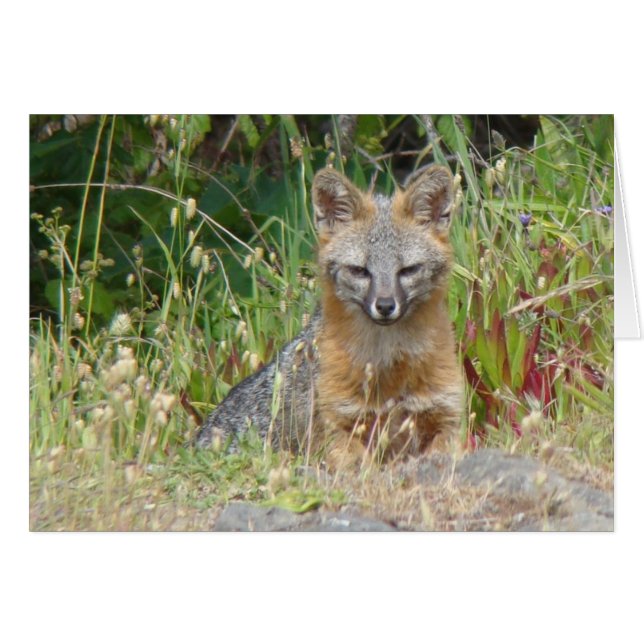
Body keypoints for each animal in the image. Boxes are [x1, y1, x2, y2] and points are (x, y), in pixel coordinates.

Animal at [196, 165, 463, 468]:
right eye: (360, 271)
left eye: (408, 270)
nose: (385, 306)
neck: (389, 362)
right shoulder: (338, 425)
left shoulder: (443, 416)